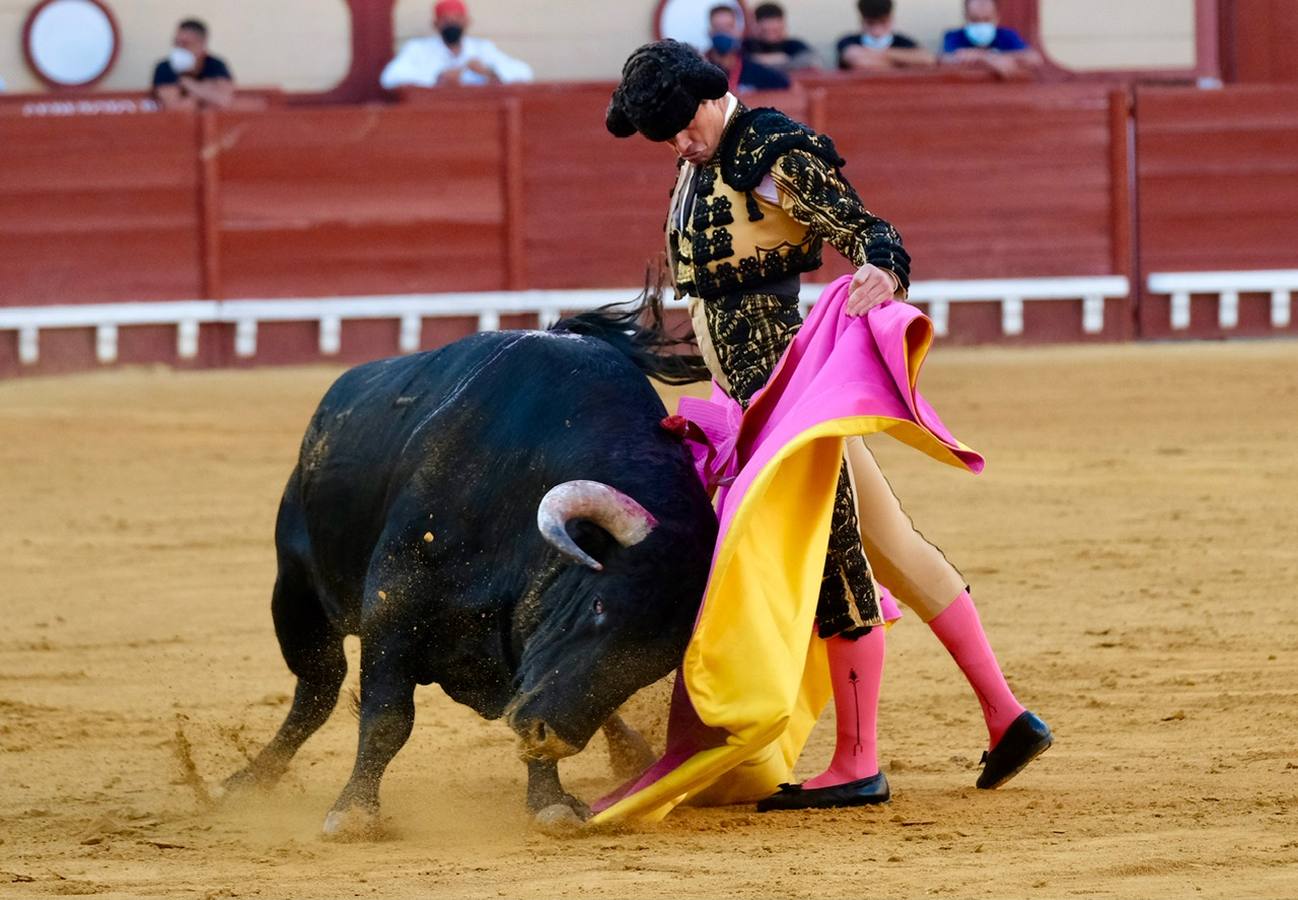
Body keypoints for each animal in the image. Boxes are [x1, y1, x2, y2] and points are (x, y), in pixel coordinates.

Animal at [218, 307, 716, 836]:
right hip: (297, 594)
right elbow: (387, 719)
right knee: (317, 689)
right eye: (599, 605)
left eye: (658, 661)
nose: (552, 737)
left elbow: (532, 703)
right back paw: (246, 782)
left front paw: (550, 801)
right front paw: (353, 812)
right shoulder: (394, 603)